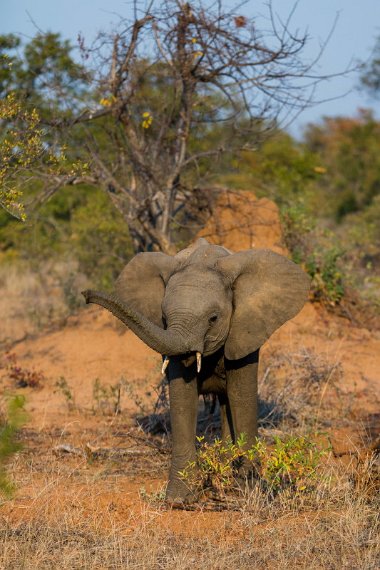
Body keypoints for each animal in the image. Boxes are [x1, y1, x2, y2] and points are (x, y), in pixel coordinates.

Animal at [81, 235, 310, 502]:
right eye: (163, 318)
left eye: (213, 318)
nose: (85, 295)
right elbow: (182, 396)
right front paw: (179, 500)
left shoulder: (246, 329)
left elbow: (241, 396)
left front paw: (248, 491)